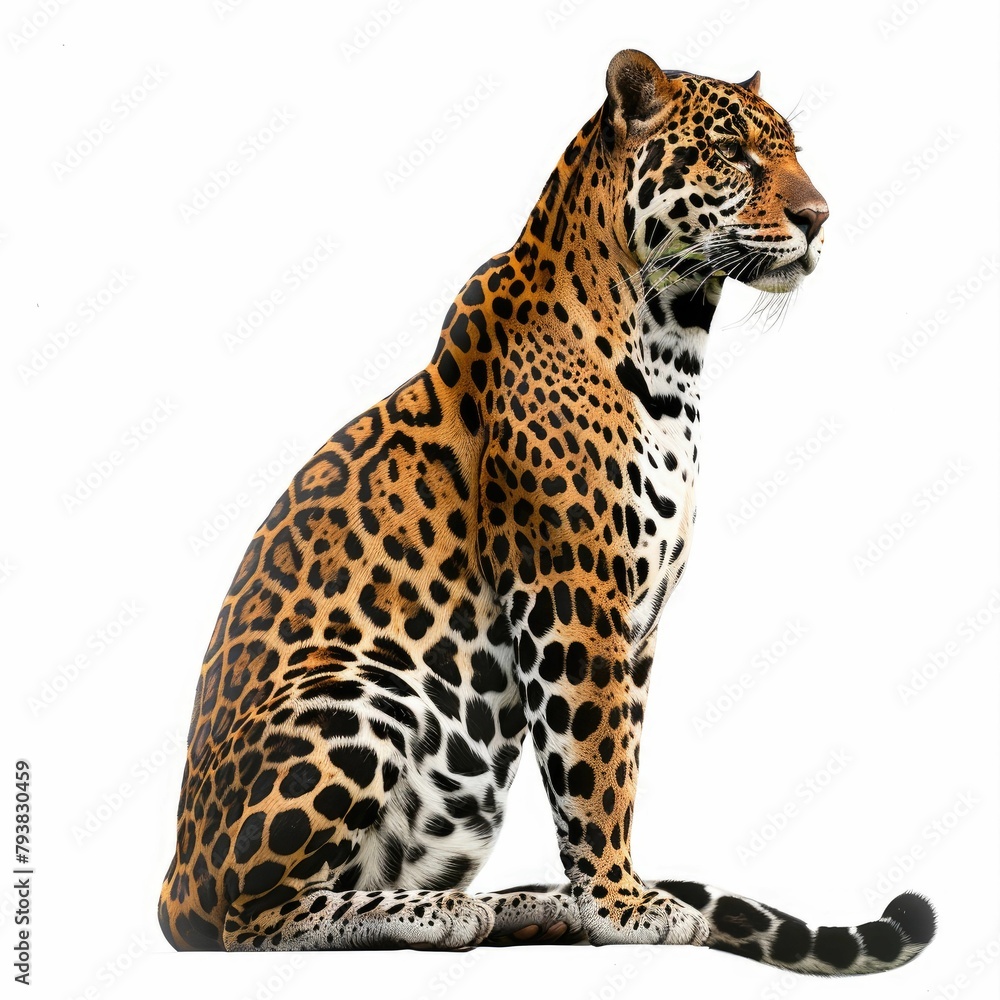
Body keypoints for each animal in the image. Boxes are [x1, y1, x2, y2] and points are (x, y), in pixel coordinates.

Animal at [158, 49, 935, 972]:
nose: (819, 217)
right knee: (245, 920)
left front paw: (607, 898)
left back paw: (524, 906)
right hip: (358, 690)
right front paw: (625, 906)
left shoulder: (639, 621)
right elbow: (594, 767)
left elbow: (618, 759)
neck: (673, 344)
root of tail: (170, 876)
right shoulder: (572, 595)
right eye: (734, 155)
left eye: (793, 153)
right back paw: (437, 914)